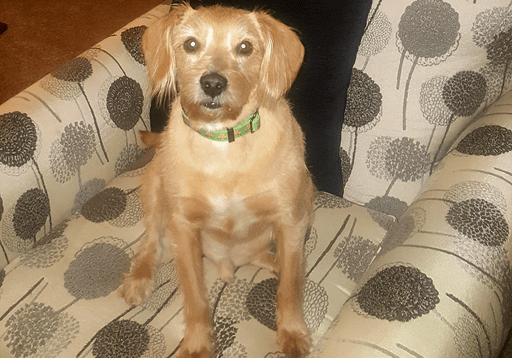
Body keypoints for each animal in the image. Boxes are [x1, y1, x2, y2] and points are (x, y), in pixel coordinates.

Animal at [119, 3, 316, 358]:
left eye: (245, 47)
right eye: (191, 44)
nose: (212, 83)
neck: (223, 143)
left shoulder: (290, 219)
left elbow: (289, 290)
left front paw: (292, 332)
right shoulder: (183, 229)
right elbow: (195, 298)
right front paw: (197, 344)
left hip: (308, 197)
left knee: (272, 257)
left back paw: (276, 260)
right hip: (154, 189)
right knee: (150, 241)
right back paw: (139, 278)